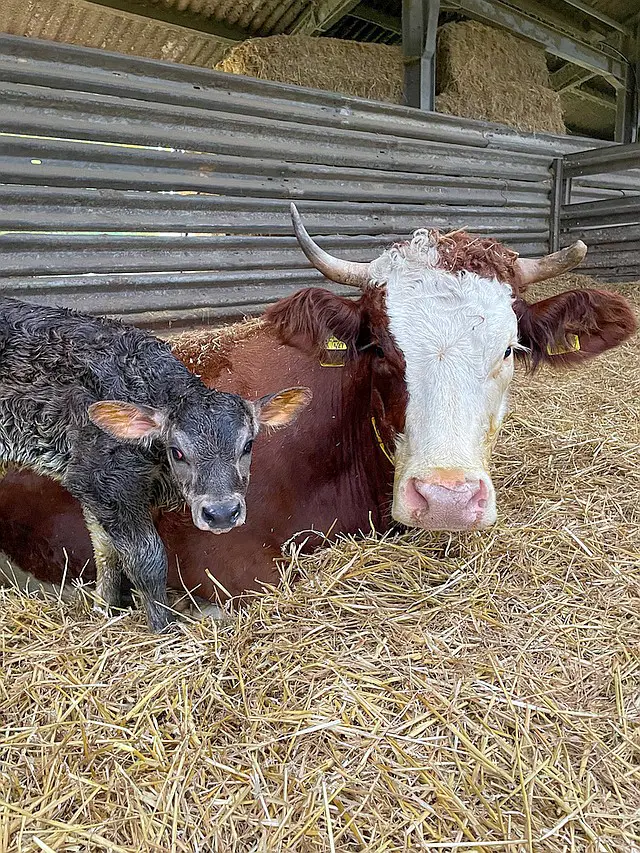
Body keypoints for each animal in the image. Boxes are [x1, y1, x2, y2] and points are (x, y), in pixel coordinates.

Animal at [0, 296, 312, 628]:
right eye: (177, 451)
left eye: (248, 445)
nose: (221, 514)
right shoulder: (106, 479)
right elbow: (146, 558)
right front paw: (163, 625)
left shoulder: (93, 481)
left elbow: (107, 550)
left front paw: (105, 610)